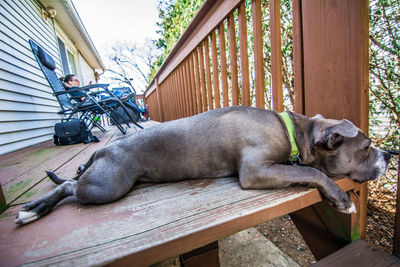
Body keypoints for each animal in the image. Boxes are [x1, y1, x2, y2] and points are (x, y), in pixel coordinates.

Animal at [15, 105, 390, 225]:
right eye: (366, 146)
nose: (389, 156)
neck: (293, 131)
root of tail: (104, 149)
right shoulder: (255, 170)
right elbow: (307, 170)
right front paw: (339, 198)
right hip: (106, 186)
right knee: (69, 186)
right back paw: (32, 210)